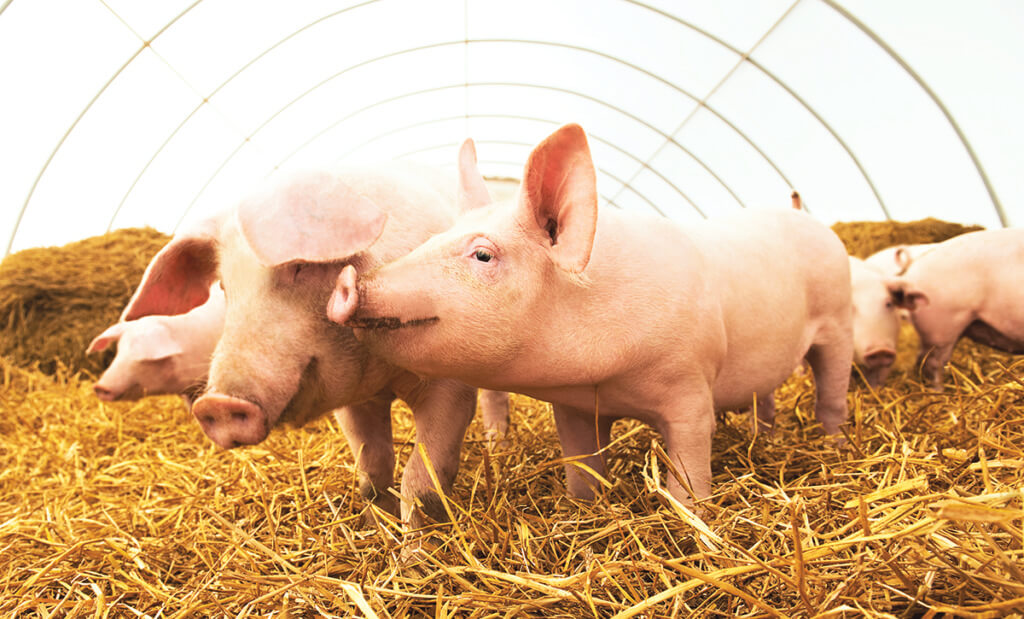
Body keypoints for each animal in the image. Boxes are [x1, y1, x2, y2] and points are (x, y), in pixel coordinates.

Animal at [117, 162, 489, 522]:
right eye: (224, 285)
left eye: (298, 266)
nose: (216, 404)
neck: (382, 373)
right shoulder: (355, 403)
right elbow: (372, 472)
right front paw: (375, 528)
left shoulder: (451, 387)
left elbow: (423, 484)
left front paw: (419, 541)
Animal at [329, 124, 856, 502]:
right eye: (431, 239)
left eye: (482, 254)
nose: (348, 282)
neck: (611, 381)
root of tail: (812, 222)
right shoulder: (576, 406)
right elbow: (582, 470)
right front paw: (584, 507)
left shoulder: (690, 385)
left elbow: (688, 472)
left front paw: (692, 522)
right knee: (764, 396)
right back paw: (763, 436)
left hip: (838, 322)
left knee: (830, 393)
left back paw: (834, 444)